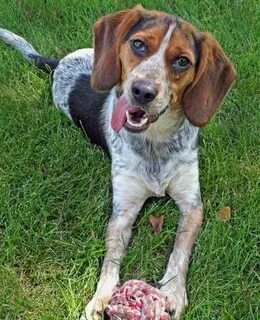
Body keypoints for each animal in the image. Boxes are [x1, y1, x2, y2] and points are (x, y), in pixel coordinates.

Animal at [0, 5, 236, 320]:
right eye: (138, 44)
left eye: (182, 61)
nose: (143, 91)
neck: (154, 142)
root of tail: (60, 61)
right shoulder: (123, 210)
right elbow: (110, 260)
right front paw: (100, 297)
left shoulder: (192, 204)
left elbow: (180, 250)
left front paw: (173, 291)